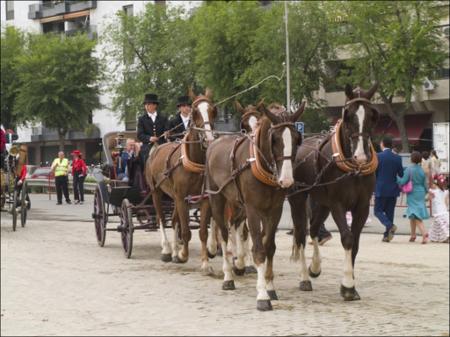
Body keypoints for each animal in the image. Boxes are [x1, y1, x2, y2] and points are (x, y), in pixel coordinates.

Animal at [147, 88, 217, 272]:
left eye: (212, 110)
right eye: (195, 111)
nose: (208, 139)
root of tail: (156, 148)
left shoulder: (204, 198)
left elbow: (202, 232)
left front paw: (205, 262)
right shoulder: (181, 197)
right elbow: (186, 231)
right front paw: (183, 255)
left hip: (173, 197)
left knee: (173, 220)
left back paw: (174, 251)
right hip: (156, 192)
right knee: (162, 219)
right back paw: (166, 250)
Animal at [205, 101, 304, 310]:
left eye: (297, 139)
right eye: (274, 139)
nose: (286, 180)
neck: (261, 165)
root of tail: (214, 144)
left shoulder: (274, 210)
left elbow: (269, 247)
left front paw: (270, 287)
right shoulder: (253, 210)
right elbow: (258, 250)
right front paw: (262, 295)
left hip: (236, 204)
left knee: (234, 226)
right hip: (217, 199)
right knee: (223, 234)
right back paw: (228, 276)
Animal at [288, 83, 380, 300]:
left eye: (372, 115)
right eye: (348, 116)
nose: (361, 157)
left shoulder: (362, 206)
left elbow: (355, 243)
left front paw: (350, 283)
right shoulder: (338, 203)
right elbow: (347, 238)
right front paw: (348, 285)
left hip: (322, 203)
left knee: (314, 228)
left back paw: (315, 267)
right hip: (299, 199)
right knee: (301, 234)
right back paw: (304, 277)